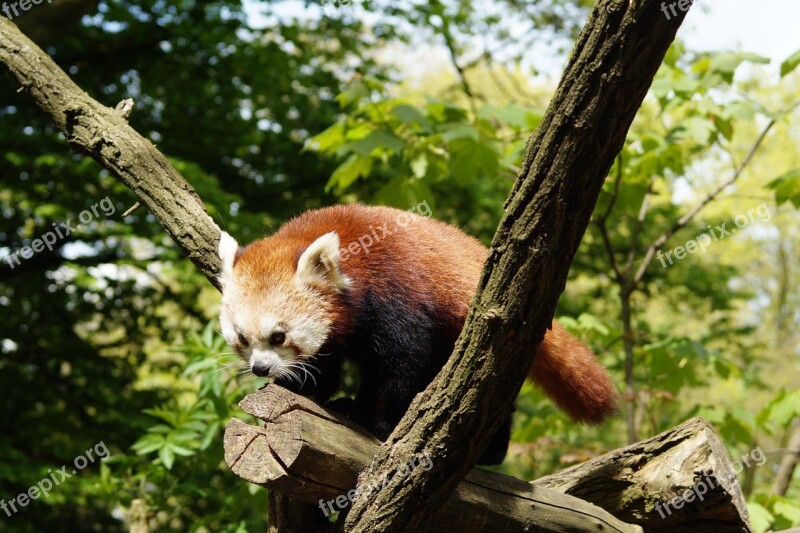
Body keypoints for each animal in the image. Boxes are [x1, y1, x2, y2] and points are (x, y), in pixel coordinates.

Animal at [219, 203, 620, 462]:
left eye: (278, 337)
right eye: (243, 340)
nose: (260, 368)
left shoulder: (397, 296)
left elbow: (400, 365)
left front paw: (371, 418)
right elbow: (325, 361)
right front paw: (306, 388)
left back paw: (491, 450)